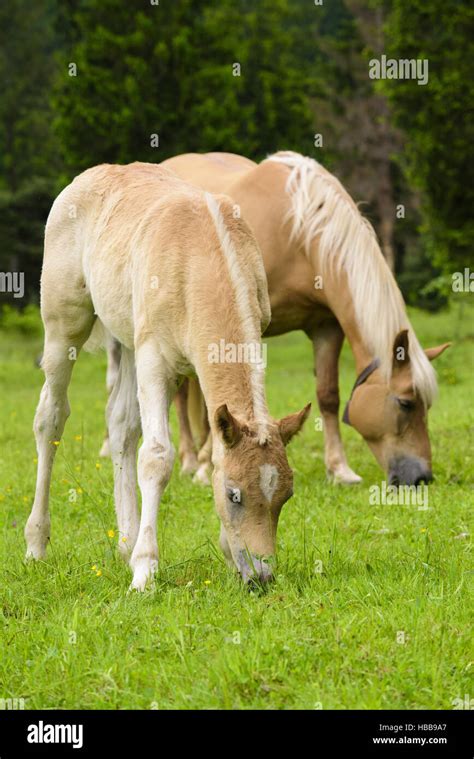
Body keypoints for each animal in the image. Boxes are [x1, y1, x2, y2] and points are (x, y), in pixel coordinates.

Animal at [24, 160, 310, 592]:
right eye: (234, 495)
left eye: (286, 497)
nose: (262, 578)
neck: (204, 260)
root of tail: (88, 176)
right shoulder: (155, 361)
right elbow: (157, 457)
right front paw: (145, 571)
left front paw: (228, 555)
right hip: (64, 324)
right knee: (50, 416)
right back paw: (37, 544)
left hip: (126, 338)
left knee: (121, 423)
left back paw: (125, 543)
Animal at [161, 153, 450, 486]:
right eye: (406, 403)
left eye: (428, 404)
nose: (421, 477)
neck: (298, 233)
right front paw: (206, 467)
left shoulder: (326, 327)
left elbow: (328, 396)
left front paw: (339, 469)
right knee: (181, 397)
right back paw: (189, 460)